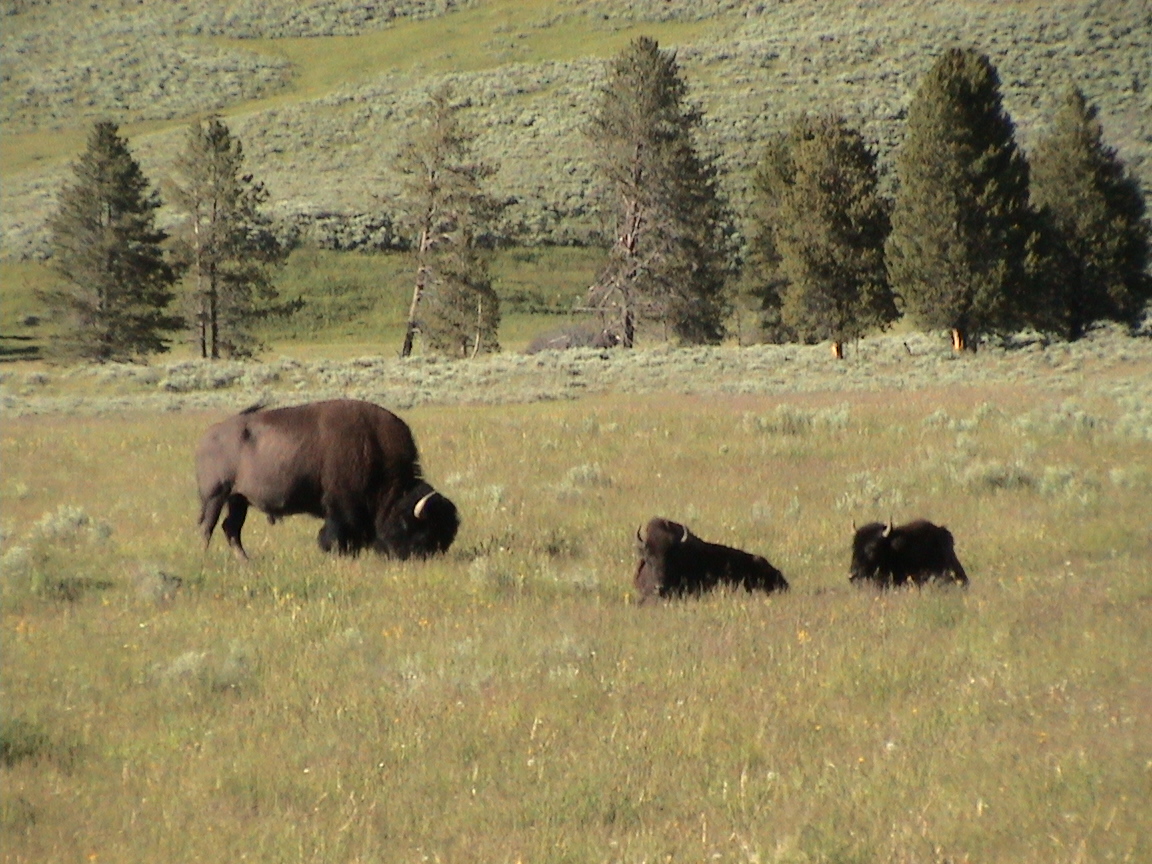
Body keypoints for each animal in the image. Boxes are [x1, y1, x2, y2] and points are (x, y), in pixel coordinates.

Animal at [195, 399, 459, 560]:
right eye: (420, 529)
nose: (423, 557)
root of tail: (209, 435)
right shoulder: (341, 506)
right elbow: (336, 531)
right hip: (216, 496)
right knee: (208, 527)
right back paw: (206, 557)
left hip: (238, 499)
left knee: (231, 528)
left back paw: (245, 561)